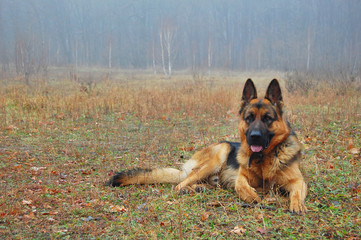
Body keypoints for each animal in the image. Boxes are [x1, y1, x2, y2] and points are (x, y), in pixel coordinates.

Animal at [107, 79, 306, 214]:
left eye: (267, 119)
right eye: (249, 118)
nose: (254, 137)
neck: (264, 158)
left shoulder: (298, 181)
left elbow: (297, 192)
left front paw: (297, 205)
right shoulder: (241, 177)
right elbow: (242, 186)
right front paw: (253, 196)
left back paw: (201, 188)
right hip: (220, 153)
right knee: (179, 185)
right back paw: (192, 188)